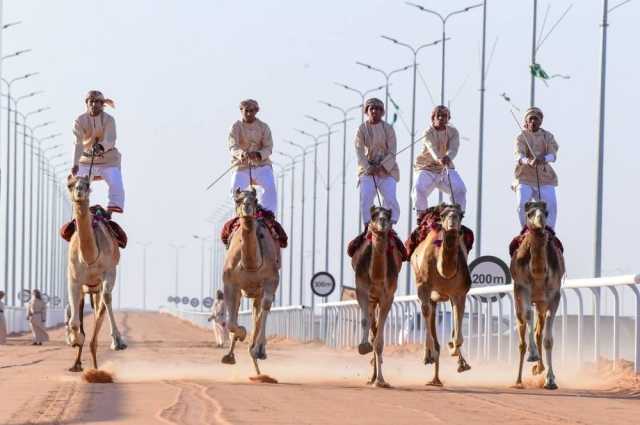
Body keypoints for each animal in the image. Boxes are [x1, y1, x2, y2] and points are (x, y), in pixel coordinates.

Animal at [65, 174, 121, 370]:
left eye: (87, 184)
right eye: (70, 185)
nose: (79, 190)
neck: (89, 256)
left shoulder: (109, 271)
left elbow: (108, 298)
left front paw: (118, 341)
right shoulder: (74, 278)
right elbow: (74, 320)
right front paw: (73, 338)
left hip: (98, 287)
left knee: (100, 309)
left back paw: (96, 367)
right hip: (87, 288)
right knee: (80, 312)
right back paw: (77, 363)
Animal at [221, 189, 278, 378]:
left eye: (255, 199)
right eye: (237, 199)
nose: (247, 206)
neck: (251, 264)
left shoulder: (271, 281)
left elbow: (265, 309)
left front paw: (258, 349)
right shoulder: (230, 283)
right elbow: (231, 322)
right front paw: (241, 334)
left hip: (260, 290)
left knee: (259, 311)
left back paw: (257, 354)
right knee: (246, 310)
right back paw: (231, 355)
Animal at [352, 205, 402, 388]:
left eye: (388, 215)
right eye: (374, 215)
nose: (382, 221)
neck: (377, 276)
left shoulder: (388, 297)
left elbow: (379, 340)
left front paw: (381, 380)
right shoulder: (361, 290)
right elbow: (365, 321)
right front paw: (363, 346)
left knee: (376, 332)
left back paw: (375, 377)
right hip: (372, 299)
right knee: (372, 326)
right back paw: (371, 375)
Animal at [410, 204, 470, 386]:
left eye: (460, 215)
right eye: (443, 215)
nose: (452, 220)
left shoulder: (459, 293)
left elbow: (458, 333)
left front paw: (454, 351)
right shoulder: (423, 287)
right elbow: (425, 312)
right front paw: (429, 354)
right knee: (427, 312)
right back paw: (431, 363)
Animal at [510, 200, 564, 390]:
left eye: (546, 213)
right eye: (529, 213)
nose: (540, 222)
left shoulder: (554, 295)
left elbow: (548, 339)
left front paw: (551, 380)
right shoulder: (523, 288)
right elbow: (527, 315)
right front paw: (532, 355)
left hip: (541, 302)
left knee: (539, 331)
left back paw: (539, 368)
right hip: (518, 298)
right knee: (522, 333)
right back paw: (518, 380)